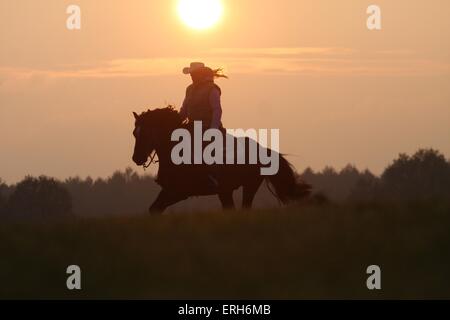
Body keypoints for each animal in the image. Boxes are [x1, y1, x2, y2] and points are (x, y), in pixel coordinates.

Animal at [132, 106, 312, 214]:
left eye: (146, 132)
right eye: (135, 133)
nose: (136, 158)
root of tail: (263, 149)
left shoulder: (178, 192)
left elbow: (156, 208)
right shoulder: (169, 190)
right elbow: (154, 209)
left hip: (249, 185)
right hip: (226, 191)